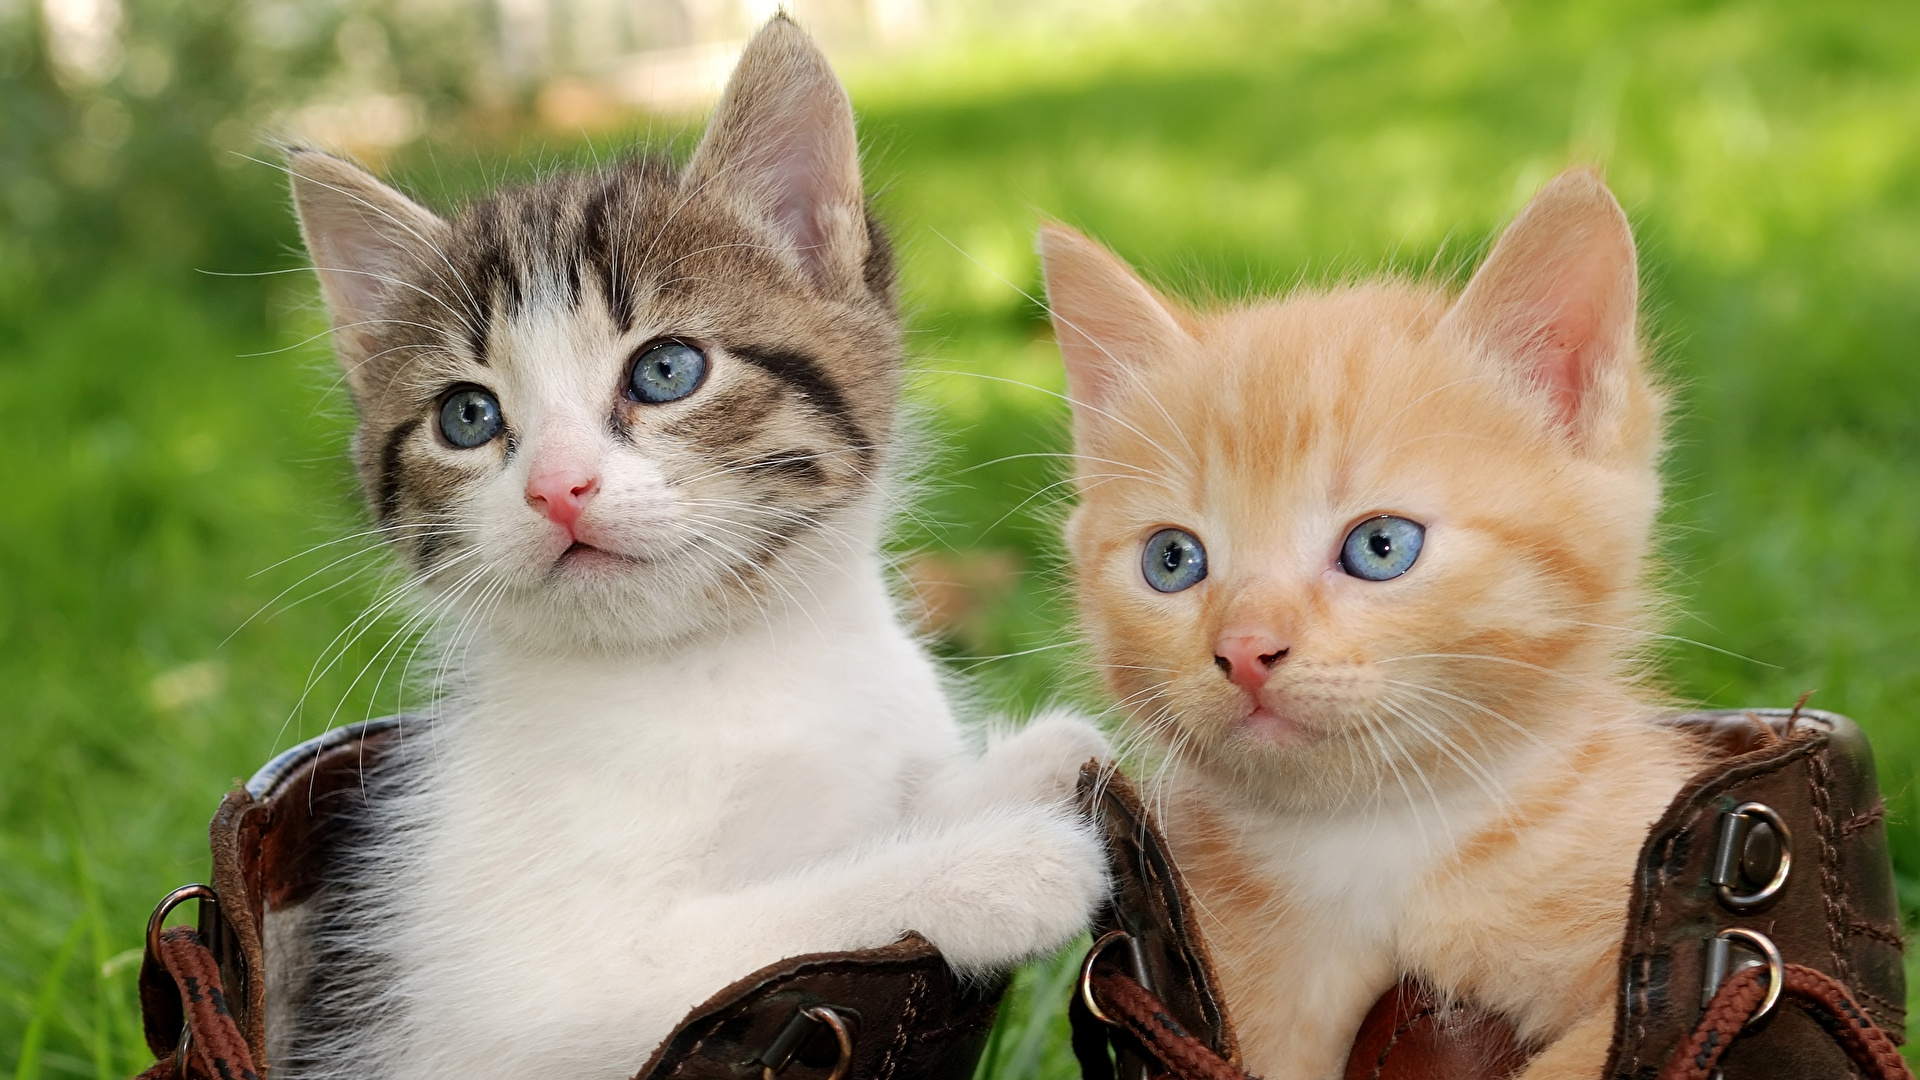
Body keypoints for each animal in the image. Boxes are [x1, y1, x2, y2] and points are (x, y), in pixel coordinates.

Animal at [272, 18, 1113, 1076]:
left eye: (667, 369)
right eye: (468, 417)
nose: (557, 487)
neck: (722, 667)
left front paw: (1033, 766)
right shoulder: (526, 1008)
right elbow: (777, 926)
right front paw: (1003, 864)